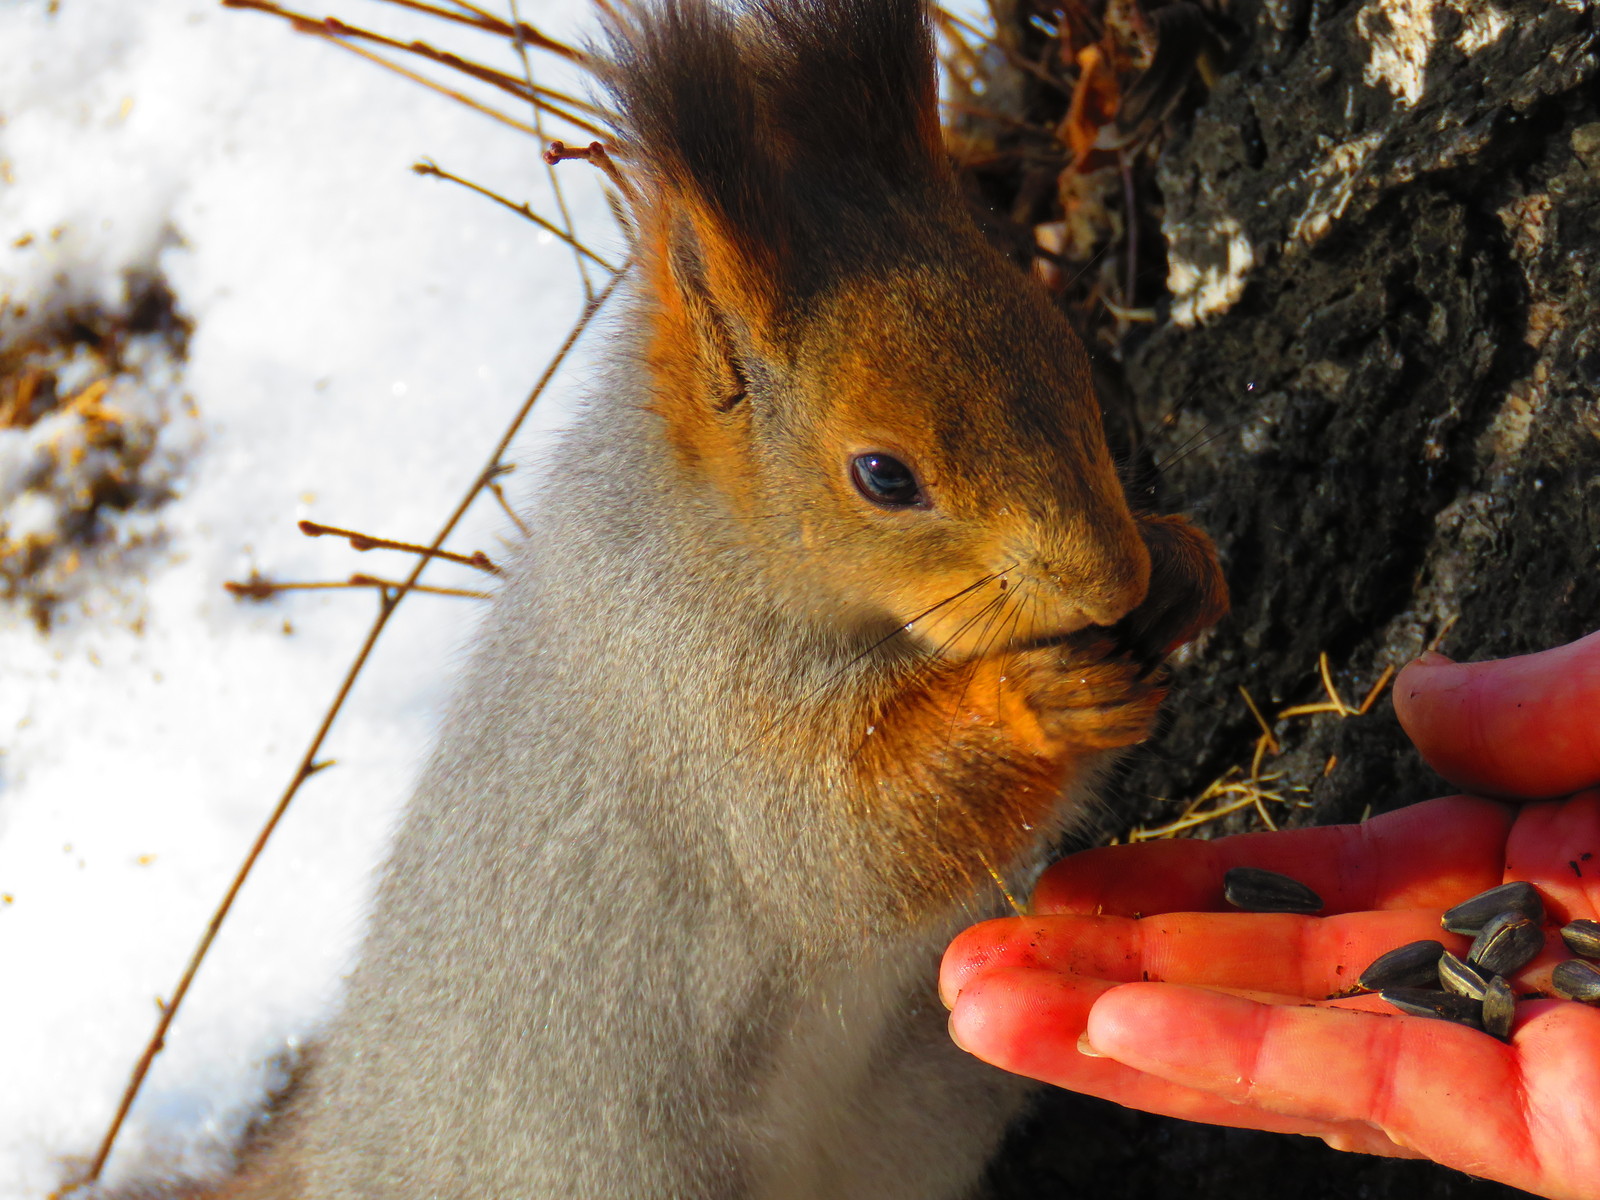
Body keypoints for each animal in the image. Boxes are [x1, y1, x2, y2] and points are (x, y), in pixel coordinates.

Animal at [162, 2, 1222, 1200]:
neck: (723, 550)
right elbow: (848, 839)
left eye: (1060, 343)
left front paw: (1183, 567)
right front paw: (1032, 700)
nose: (1110, 579)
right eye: (883, 476)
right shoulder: (695, 715)